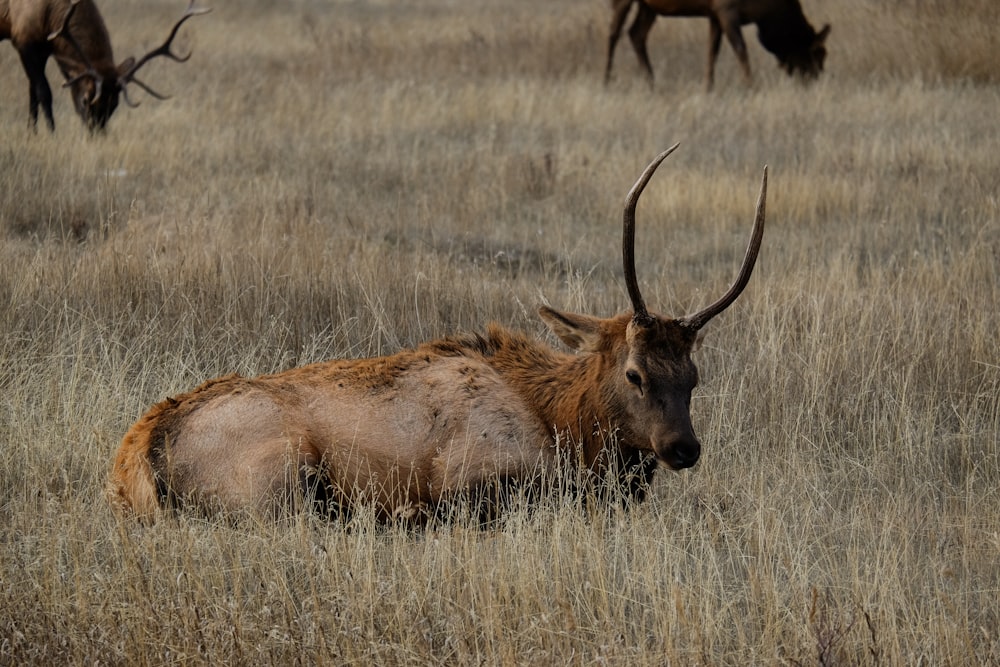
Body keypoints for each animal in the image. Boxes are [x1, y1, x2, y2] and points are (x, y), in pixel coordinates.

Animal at [1, 0, 209, 132]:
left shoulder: (43, 49)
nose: (96, 134)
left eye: (114, 103)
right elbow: (43, 92)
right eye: (85, 100)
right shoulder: (23, 40)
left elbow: (32, 93)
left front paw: (32, 134)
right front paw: (51, 133)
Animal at [107, 145, 764, 520]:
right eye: (635, 372)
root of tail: (137, 457)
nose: (683, 447)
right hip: (282, 476)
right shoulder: (470, 474)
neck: (562, 423)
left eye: (694, 376)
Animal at [604, 0, 832, 90]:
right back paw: (606, 79)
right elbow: (741, 50)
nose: (815, 80)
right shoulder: (726, 9)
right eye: (818, 52)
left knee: (636, 34)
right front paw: (750, 86)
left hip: (649, 6)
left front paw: (708, 88)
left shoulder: (714, 13)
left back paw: (651, 81)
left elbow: (711, 52)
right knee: (613, 33)